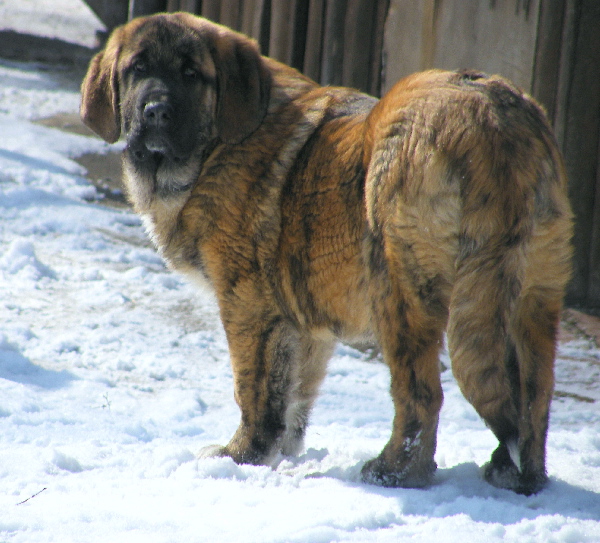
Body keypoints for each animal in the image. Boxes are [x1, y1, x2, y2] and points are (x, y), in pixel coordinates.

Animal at [79, 11, 572, 498]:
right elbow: (295, 389)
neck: (213, 146)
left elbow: (253, 386)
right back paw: (519, 475)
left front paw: (241, 455)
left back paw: (395, 472)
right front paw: (281, 452)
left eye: (190, 73)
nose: (155, 111)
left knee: (421, 394)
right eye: (137, 69)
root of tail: (493, 122)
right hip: (533, 293)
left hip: (401, 289)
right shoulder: (301, 317)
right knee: (535, 395)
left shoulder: (248, 305)